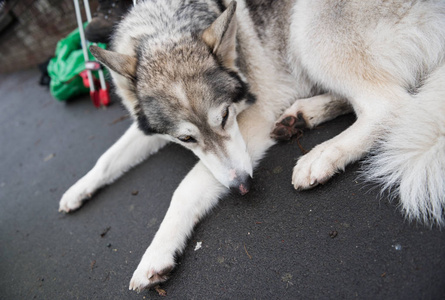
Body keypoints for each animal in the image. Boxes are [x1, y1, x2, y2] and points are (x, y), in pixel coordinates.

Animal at [59, 0, 444, 292]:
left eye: (225, 116)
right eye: (185, 139)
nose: (242, 186)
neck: (165, 24)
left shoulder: (253, 117)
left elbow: (186, 188)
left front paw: (156, 253)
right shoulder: (150, 127)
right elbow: (107, 159)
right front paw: (78, 190)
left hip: (306, 27)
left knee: (389, 104)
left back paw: (321, 156)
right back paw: (301, 116)